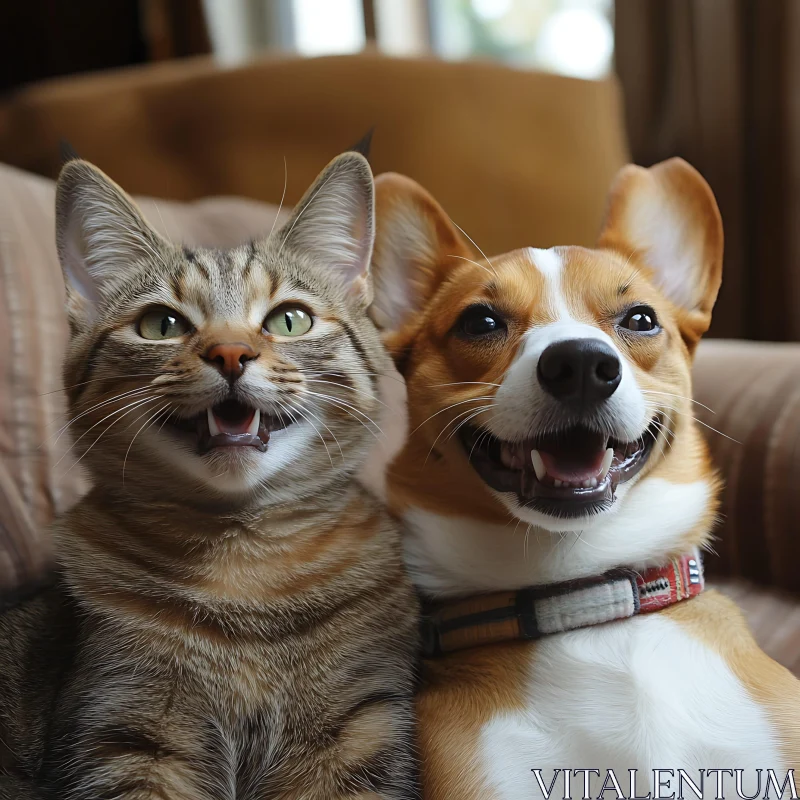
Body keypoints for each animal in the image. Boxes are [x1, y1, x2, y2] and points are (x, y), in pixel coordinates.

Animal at [0, 152, 422, 800]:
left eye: (290, 320)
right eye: (161, 325)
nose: (229, 353)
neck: (243, 565)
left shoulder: (359, 730)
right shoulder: (123, 730)